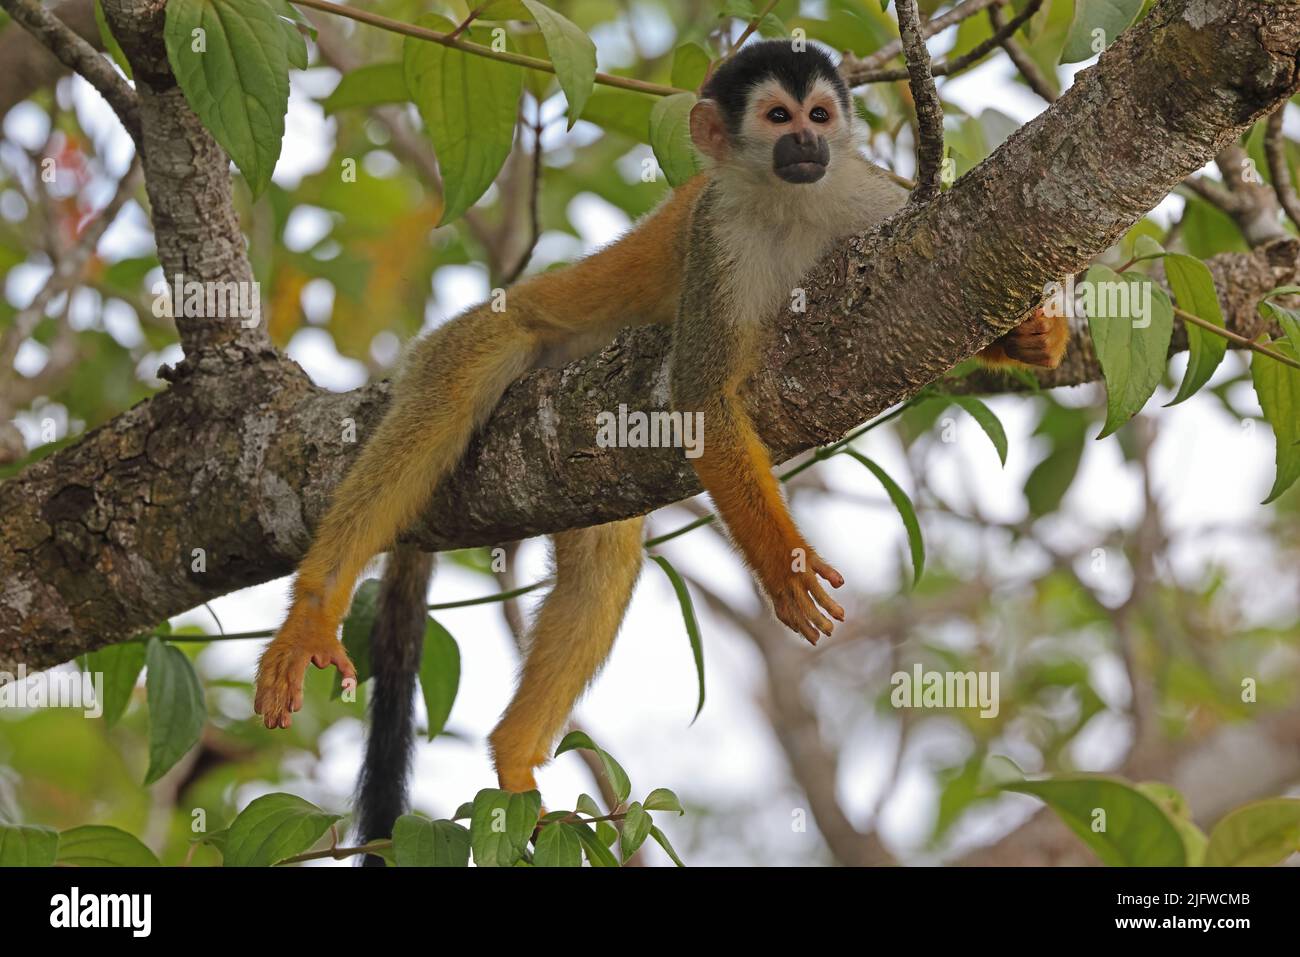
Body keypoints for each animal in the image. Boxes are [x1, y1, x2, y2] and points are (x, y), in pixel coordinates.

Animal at [252, 40, 1069, 849]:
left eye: (819, 115)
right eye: (777, 118)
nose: (807, 145)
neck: (792, 204)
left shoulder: (877, 204)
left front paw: (1031, 337)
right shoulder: (718, 239)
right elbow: (700, 402)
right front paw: (783, 563)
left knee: (604, 557)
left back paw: (513, 753)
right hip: (489, 337)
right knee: (450, 392)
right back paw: (315, 609)